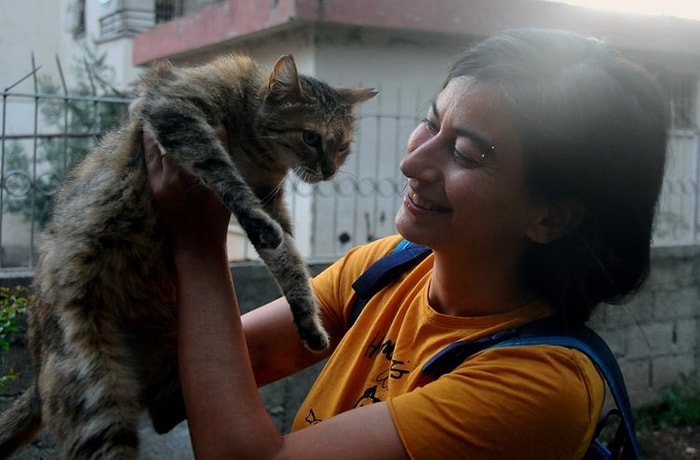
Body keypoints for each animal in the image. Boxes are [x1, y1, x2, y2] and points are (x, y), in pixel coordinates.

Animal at [0, 52, 378, 458]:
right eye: (311, 137)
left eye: (343, 147)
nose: (329, 171)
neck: (256, 146)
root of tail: (38, 372)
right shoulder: (175, 108)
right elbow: (220, 168)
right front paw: (250, 211)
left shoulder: (272, 200)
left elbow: (289, 261)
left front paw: (309, 321)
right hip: (97, 405)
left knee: (167, 412)